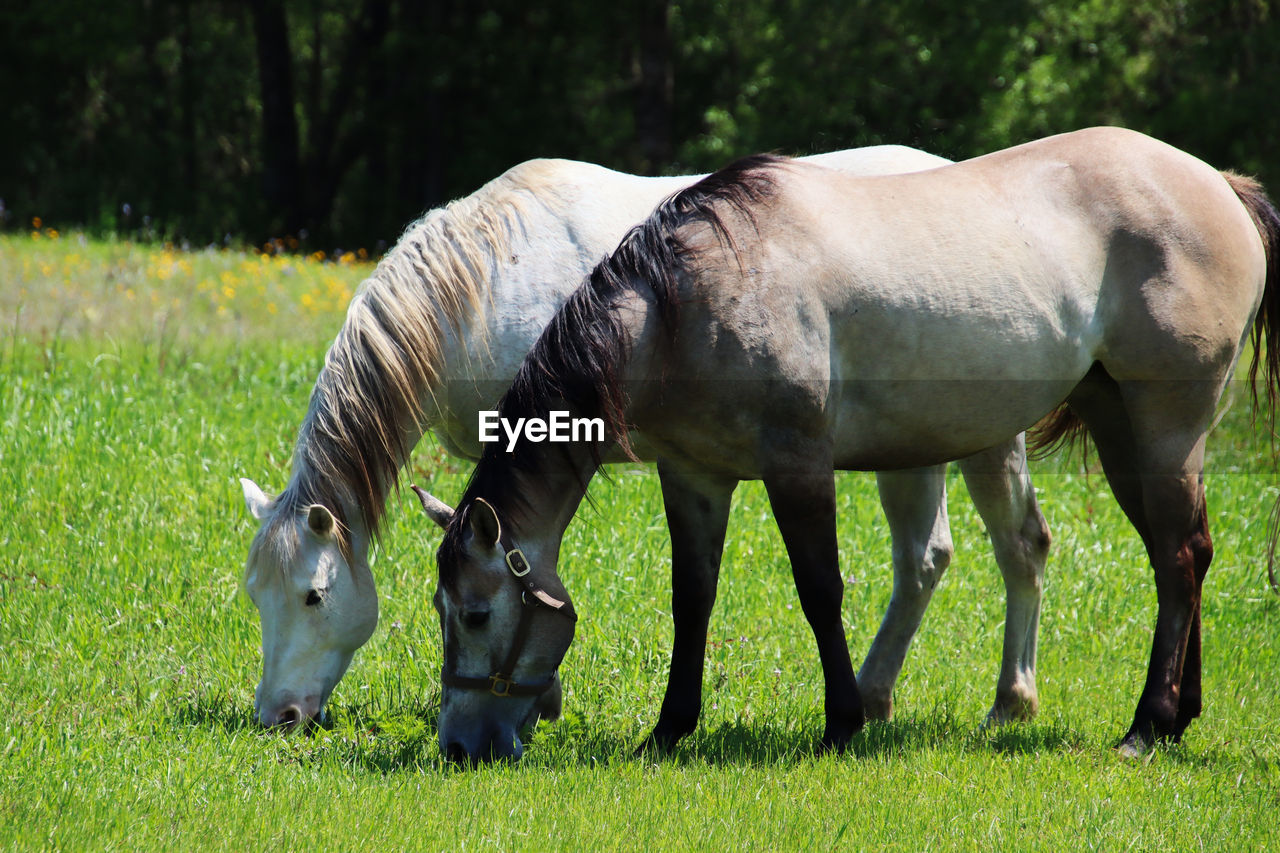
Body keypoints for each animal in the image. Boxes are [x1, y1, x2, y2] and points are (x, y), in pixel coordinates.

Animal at [238, 146, 1049, 732]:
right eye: (256, 596)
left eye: (313, 595)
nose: (279, 716)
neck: (486, 283)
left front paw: (544, 697)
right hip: (911, 445)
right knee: (925, 560)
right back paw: (877, 695)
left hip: (983, 435)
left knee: (1018, 547)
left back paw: (1008, 700)